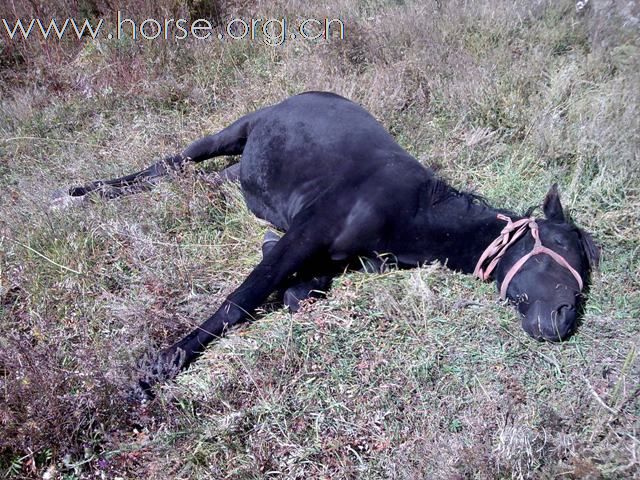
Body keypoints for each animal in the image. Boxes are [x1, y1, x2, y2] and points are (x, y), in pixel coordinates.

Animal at [63, 92, 600, 392]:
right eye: (562, 249)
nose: (562, 320)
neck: (411, 209)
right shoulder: (304, 235)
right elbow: (241, 299)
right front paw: (160, 367)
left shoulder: (334, 257)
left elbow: (301, 291)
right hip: (231, 132)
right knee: (170, 163)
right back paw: (78, 194)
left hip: (239, 170)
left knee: (200, 178)